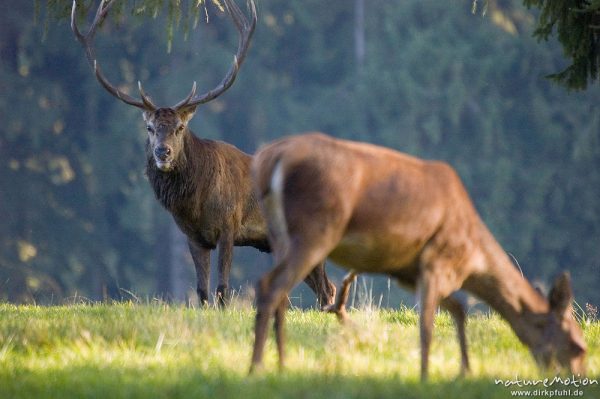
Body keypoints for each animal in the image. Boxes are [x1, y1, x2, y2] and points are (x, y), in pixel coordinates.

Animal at [72, 0, 336, 308]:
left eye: (180, 127)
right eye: (150, 128)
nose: (163, 152)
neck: (196, 203)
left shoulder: (229, 226)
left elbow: (222, 288)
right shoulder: (193, 237)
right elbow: (201, 290)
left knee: (325, 288)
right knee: (323, 286)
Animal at [248, 134, 584, 378]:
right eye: (576, 344)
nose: (576, 375)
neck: (471, 257)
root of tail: (270, 159)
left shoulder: (410, 272)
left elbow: (458, 310)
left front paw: (464, 372)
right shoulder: (437, 261)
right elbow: (427, 326)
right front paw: (425, 376)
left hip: (280, 235)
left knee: (278, 290)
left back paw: (281, 366)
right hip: (315, 229)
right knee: (270, 286)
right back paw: (258, 367)